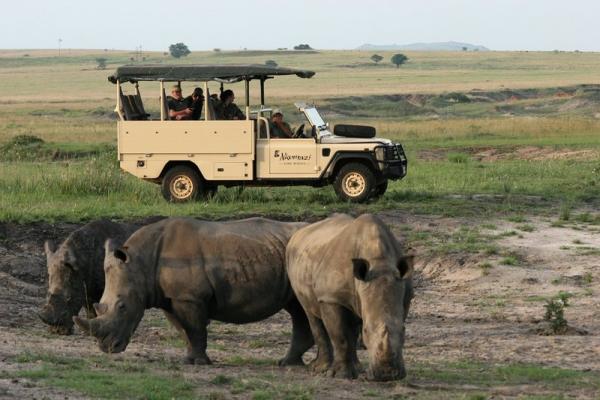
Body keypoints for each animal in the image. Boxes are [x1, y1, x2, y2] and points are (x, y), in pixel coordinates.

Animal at [75, 217, 314, 368]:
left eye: (122, 306)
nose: (107, 348)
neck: (141, 262)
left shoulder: (189, 297)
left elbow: (195, 329)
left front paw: (199, 363)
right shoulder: (171, 297)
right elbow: (184, 330)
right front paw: (189, 360)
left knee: (300, 309)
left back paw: (289, 364)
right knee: (297, 309)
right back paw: (289, 364)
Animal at [286, 214, 412, 380]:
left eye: (404, 331)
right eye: (366, 331)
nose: (388, 375)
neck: (379, 262)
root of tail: (298, 233)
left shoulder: (405, 297)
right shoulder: (331, 298)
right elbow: (340, 336)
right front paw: (340, 375)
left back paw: (357, 369)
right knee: (311, 313)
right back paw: (320, 369)